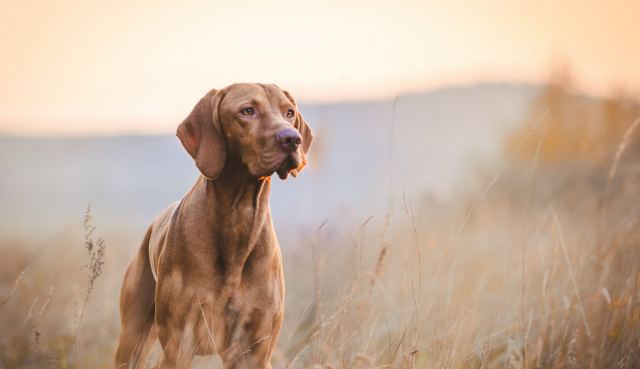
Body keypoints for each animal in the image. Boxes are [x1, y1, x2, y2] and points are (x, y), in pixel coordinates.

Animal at [115, 83, 316, 368]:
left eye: (289, 112)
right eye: (247, 111)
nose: (292, 139)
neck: (238, 218)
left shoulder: (255, 351)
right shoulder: (179, 344)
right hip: (133, 337)